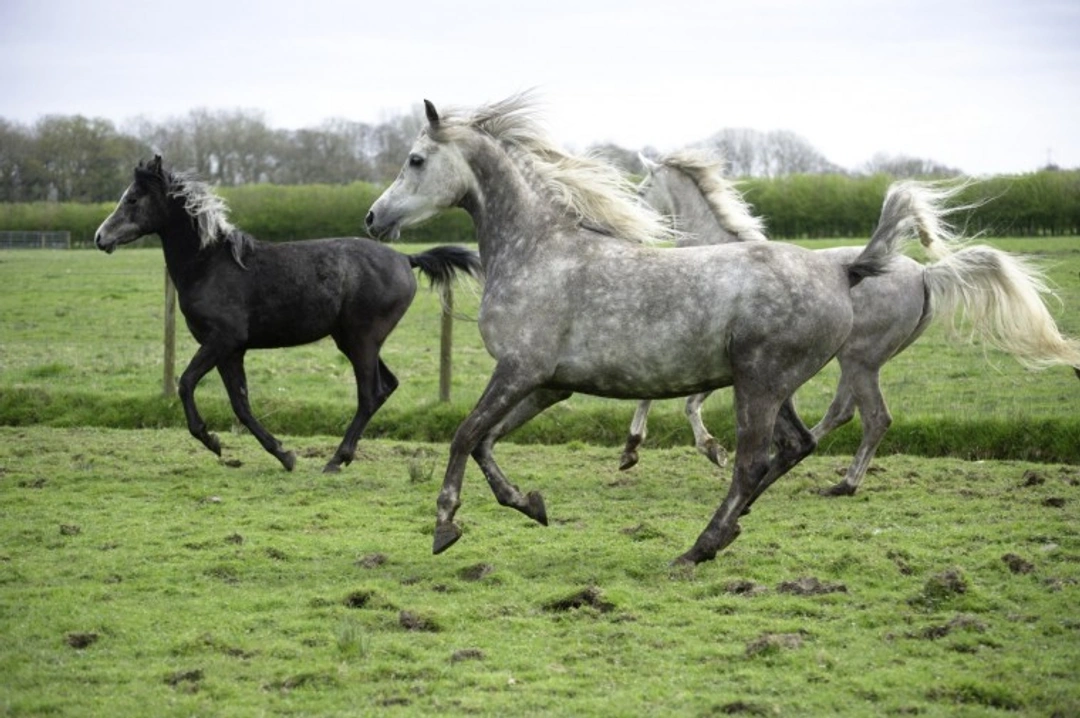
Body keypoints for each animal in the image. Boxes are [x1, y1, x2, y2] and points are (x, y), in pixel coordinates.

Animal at [95, 155, 482, 473]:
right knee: (386, 386)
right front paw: (282, 454)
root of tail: (405, 258)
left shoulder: (222, 340)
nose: (101, 237)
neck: (210, 265)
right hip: (354, 340)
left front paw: (212, 440)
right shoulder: (230, 350)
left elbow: (187, 382)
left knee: (370, 393)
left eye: (132, 198)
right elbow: (240, 403)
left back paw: (336, 460)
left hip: (362, 340)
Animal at [365, 93, 919, 565]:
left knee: (753, 462)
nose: (372, 218)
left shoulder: (519, 371)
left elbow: (463, 435)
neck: (537, 252)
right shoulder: (547, 386)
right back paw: (732, 527)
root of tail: (842, 271)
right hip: (772, 387)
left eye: (416, 159)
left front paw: (445, 524)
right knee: (795, 447)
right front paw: (529, 503)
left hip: (760, 385)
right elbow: (485, 440)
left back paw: (700, 546)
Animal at [621, 149, 1080, 497]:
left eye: (642, 189)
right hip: (855, 361)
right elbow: (660, 395)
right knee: (842, 413)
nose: (633, 234)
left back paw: (843, 483)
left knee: (875, 419)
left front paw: (695, 448)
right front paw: (637, 449)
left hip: (859, 359)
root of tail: (925, 274)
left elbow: (680, 401)